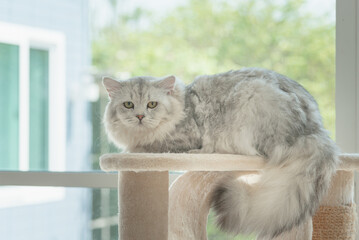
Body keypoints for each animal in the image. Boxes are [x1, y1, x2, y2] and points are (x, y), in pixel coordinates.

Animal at [102, 67, 340, 238]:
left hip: (249, 100)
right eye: (128, 105)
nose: (140, 117)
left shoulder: (178, 139)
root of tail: (313, 129)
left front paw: (131, 149)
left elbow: (144, 146)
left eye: (152, 104)